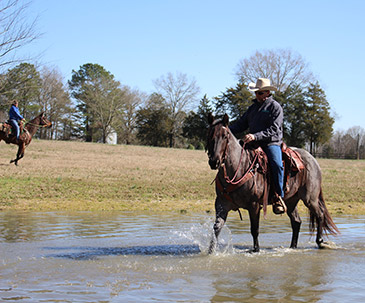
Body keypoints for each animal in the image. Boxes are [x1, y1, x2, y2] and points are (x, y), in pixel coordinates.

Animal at [206, 114, 336, 254]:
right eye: (209, 134)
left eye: (225, 136)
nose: (214, 161)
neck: (239, 169)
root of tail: (313, 160)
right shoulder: (221, 204)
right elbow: (216, 229)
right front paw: (210, 252)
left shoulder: (254, 205)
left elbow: (254, 229)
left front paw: (256, 249)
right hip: (291, 201)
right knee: (296, 221)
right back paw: (293, 247)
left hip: (310, 199)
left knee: (320, 214)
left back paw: (320, 241)